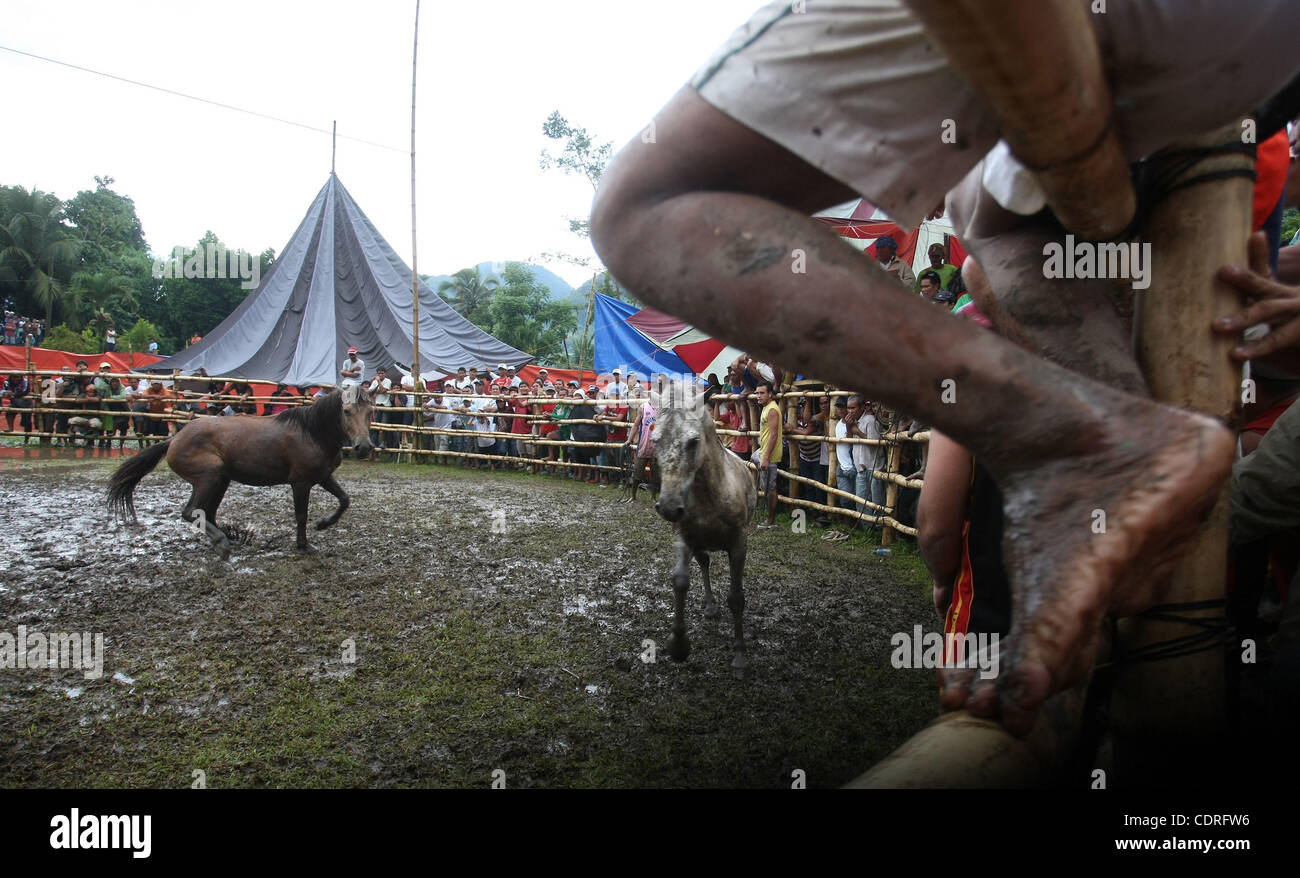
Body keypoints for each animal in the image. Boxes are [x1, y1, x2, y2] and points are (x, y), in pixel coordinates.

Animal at [107, 387, 374, 559]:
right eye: (347, 411)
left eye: (370, 412)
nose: (363, 447)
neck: (313, 433)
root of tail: (173, 439)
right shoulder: (301, 482)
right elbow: (301, 515)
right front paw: (303, 545)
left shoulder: (323, 476)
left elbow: (344, 500)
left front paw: (322, 524)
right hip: (209, 477)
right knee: (191, 512)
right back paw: (222, 543)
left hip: (221, 480)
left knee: (208, 513)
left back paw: (229, 537)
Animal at [655, 379, 759, 671]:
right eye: (656, 440)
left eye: (693, 441)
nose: (669, 506)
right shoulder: (684, 535)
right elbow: (680, 582)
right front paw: (679, 645)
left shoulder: (739, 543)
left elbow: (736, 598)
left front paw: (740, 655)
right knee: (704, 563)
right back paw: (711, 606)